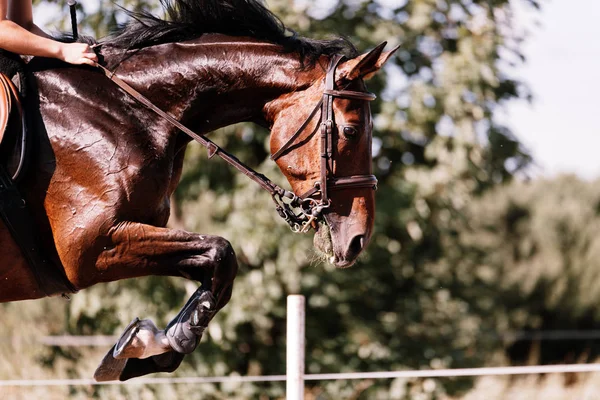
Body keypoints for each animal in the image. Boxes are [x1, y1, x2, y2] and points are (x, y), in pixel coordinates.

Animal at [0, 0, 398, 380]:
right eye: (350, 132)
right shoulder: (88, 248)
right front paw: (161, 344)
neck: (123, 106)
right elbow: (222, 252)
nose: (358, 239)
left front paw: (152, 345)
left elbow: (218, 263)